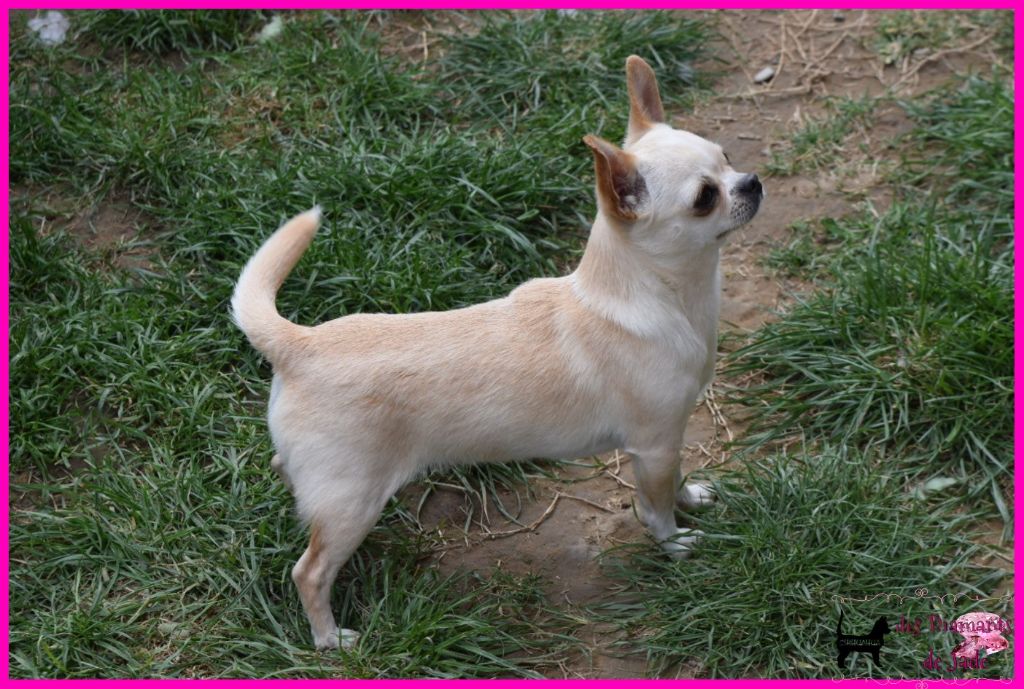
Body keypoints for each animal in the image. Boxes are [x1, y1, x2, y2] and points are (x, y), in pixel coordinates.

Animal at [232, 56, 763, 650]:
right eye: (705, 198)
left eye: (727, 157)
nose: (752, 182)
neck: (660, 298)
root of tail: (299, 342)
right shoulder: (652, 445)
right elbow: (654, 507)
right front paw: (675, 544)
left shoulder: (670, 439)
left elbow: (676, 479)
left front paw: (691, 496)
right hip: (354, 501)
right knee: (310, 571)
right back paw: (330, 640)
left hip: (330, 486)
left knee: (288, 476)